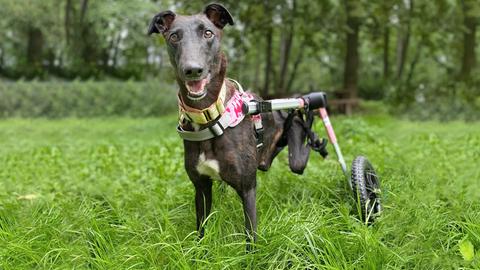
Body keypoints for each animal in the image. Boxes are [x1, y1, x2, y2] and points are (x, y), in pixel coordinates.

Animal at [148, 2, 316, 249]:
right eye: (174, 36)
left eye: (208, 33)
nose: (193, 70)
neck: (208, 116)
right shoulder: (201, 187)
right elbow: (201, 228)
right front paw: (200, 251)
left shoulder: (247, 188)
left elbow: (250, 236)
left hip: (296, 155)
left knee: (304, 147)